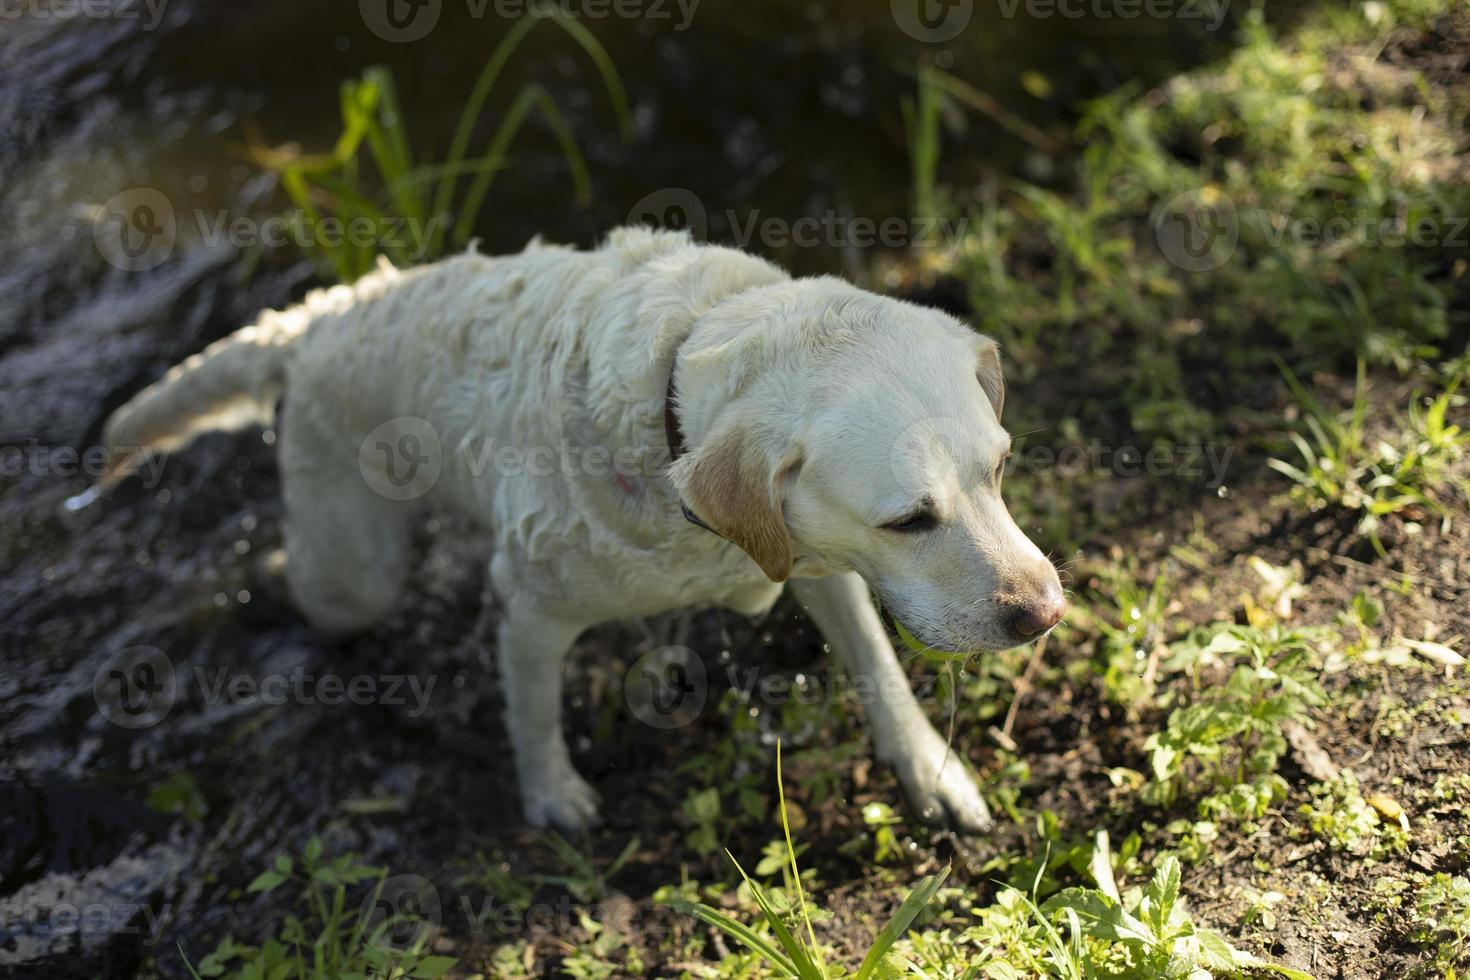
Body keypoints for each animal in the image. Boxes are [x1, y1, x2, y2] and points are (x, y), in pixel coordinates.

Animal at [106, 230, 1070, 834]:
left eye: (1000, 468)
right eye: (909, 519)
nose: (1046, 613)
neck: (666, 408)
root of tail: (319, 317)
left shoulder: (814, 558)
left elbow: (877, 665)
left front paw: (931, 770)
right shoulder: (533, 610)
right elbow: (532, 712)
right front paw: (552, 796)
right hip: (353, 570)